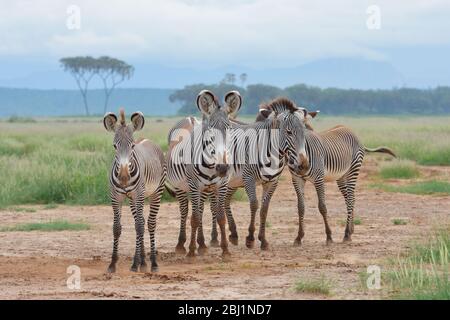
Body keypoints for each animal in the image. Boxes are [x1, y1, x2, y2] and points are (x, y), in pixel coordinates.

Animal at [104, 108, 167, 272]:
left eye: (132, 146)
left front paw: (134, 264)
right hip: (133, 198)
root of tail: (148, 140)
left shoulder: (138, 194)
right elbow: (117, 228)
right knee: (141, 221)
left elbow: (139, 227)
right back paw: (142, 261)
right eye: (114, 146)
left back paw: (152, 263)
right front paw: (113, 264)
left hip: (156, 192)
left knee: (150, 223)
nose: (124, 176)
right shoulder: (116, 196)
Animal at [166, 89, 243, 258]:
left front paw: (225, 250)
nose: (223, 168)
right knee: (185, 212)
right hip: (181, 187)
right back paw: (181, 245)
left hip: (205, 190)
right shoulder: (194, 186)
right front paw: (191, 252)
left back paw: (201, 244)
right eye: (210, 131)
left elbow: (220, 217)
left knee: (200, 209)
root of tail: (189, 119)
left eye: (229, 129)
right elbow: (194, 218)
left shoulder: (221, 185)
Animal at [256, 106, 398, 244]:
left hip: (353, 170)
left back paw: (347, 234)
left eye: (304, 131)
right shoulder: (297, 179)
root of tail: (351, 130)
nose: (303, 165)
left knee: (350, 198)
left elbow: (322, 207)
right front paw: (299, 237)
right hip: (341, 176)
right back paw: (351, 230)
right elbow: (301, 207)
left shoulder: (319, 178)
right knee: (350, 198)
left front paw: (329, 236)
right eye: (288, 132)